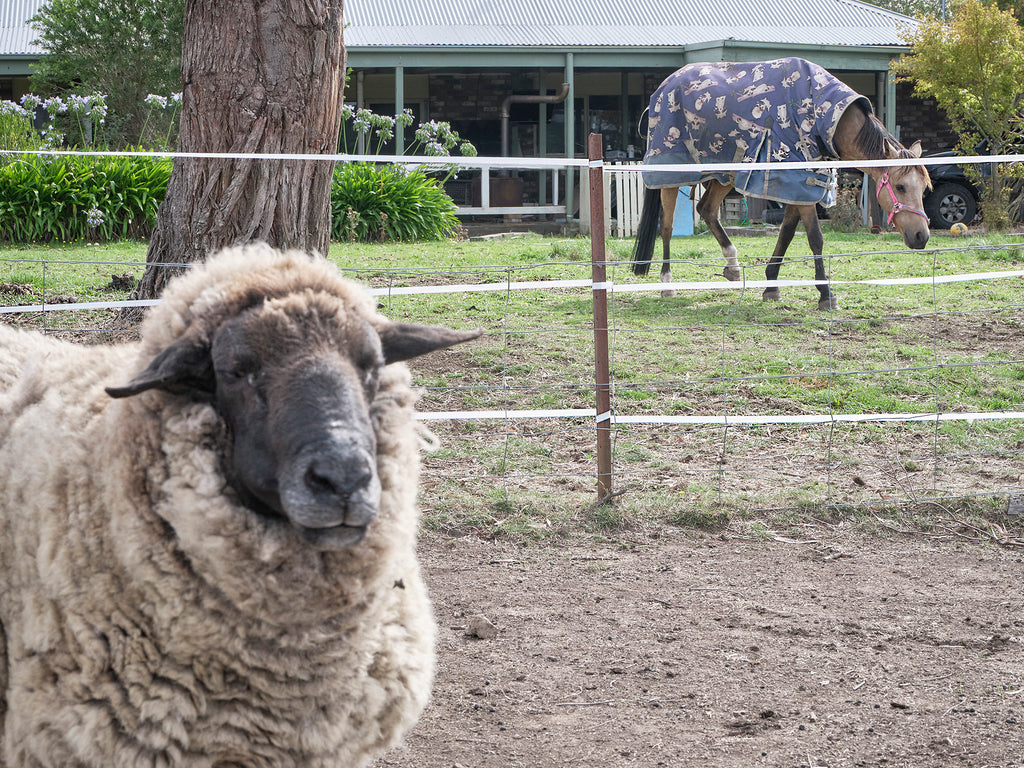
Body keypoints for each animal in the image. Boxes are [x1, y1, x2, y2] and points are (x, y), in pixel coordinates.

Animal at [626, 57, 933, 309]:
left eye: (924, 189)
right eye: (901, 187)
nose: (922, 236)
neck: (819, 113)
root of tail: (660, 93)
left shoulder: (799, 185)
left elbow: (786, 234)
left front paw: (771, 285)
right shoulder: (800, 184)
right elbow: (815, 238)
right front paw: (826, 294)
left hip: (726, 174)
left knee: (707, 210)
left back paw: (732, 265)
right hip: (672, 176)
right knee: (666, 227)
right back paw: (667, 282)